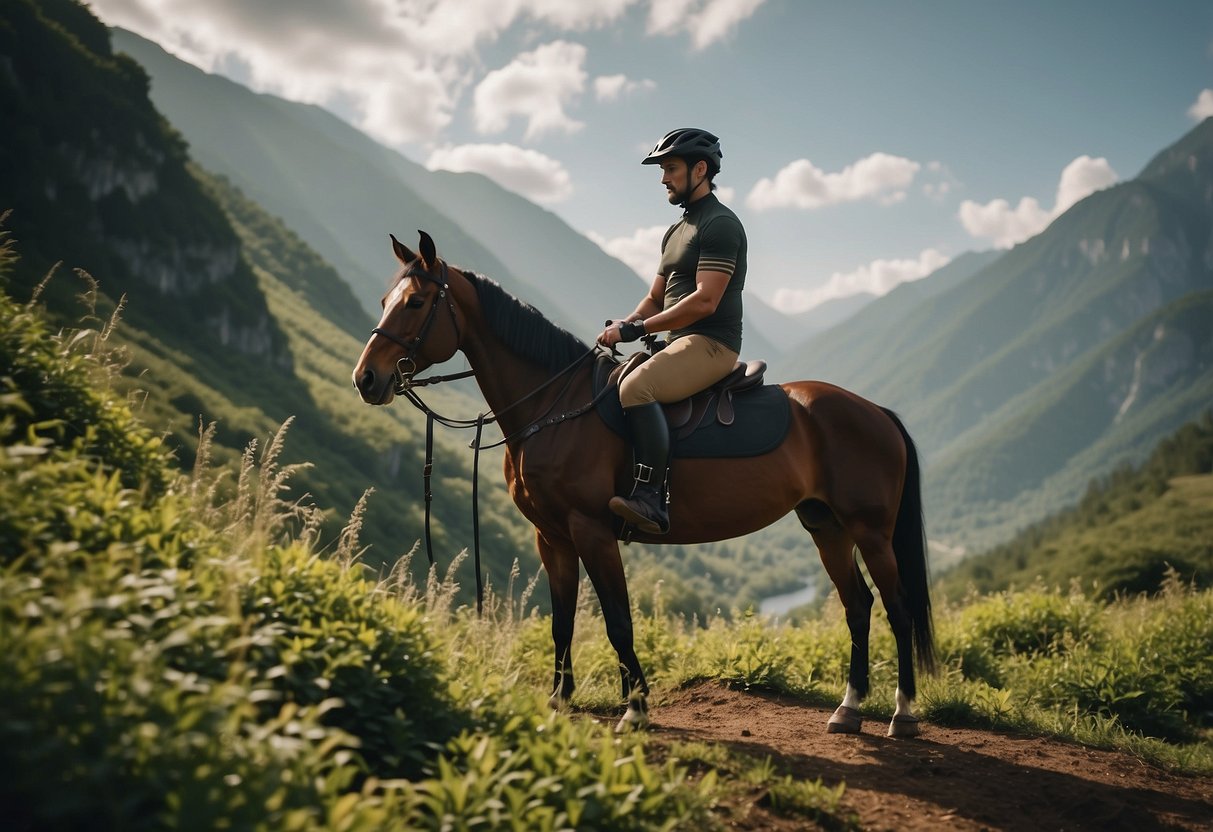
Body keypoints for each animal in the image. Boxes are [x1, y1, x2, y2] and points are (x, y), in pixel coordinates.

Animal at [351, 231, 936, 742]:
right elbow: (563, 622)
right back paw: (849, 709)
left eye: (416, 302)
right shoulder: (552, 538)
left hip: (871, 530)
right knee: (858, 605)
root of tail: (876, 412)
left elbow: (617, 621)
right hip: (827, 526)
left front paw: (634, 707)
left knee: (897, 607)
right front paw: (560, 701)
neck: (555, 407)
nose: (366, 379)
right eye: (384, 300)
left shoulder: (591, 531)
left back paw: (902, 714)